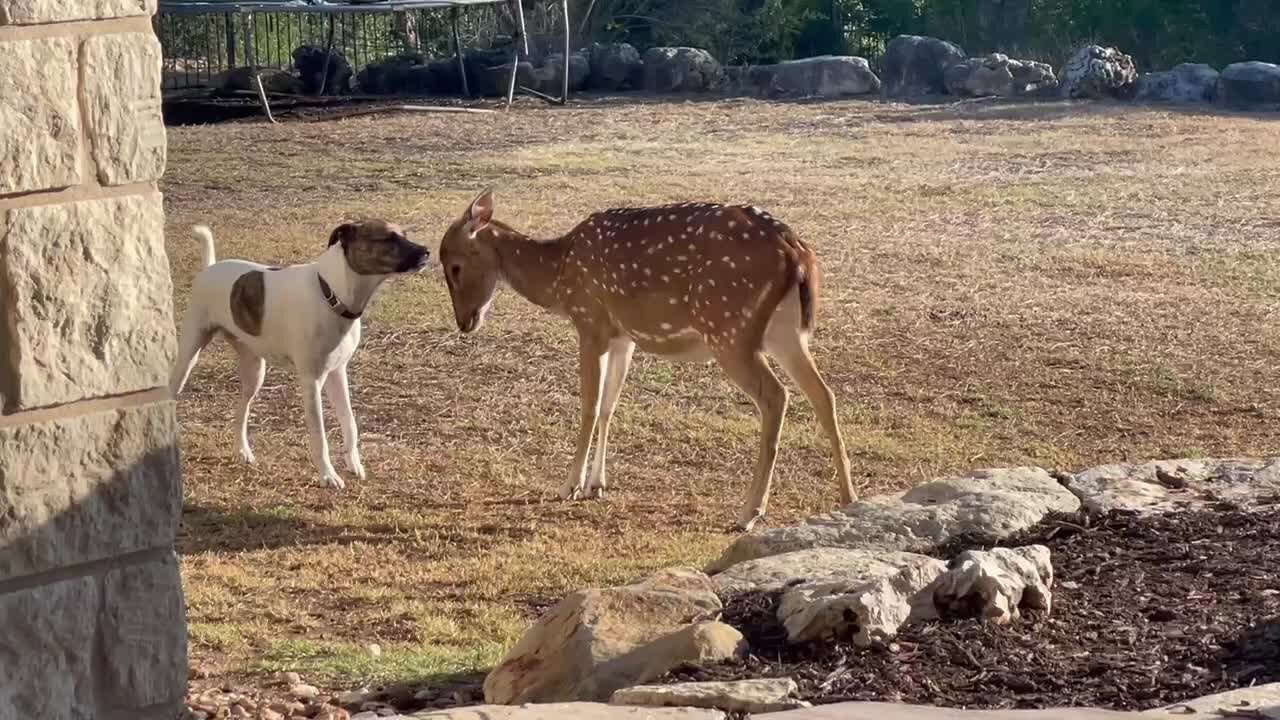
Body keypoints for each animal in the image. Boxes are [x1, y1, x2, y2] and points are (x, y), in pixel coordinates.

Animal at [167, 219, 430, 486]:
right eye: (389, 238)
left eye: (404, 234)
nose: (427, 252)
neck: (331, 293)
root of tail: (210, 267)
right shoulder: (312, 381)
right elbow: (319, 435)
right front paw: (328, 475)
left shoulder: (337, 373)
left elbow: (350, 423)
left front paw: (354, 464)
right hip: (190, 354)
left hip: (254, 371)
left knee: (242, 410)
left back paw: (242, 451)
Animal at [437, 188, 849, 530]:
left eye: (454, 266)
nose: (464, 322)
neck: (558, 276)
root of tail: (798, 253)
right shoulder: (624, 336)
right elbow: (609, 405)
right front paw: (597, 484)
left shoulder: (590, 323)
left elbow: (589, 406)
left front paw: (570, 485)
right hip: (784, 330)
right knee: (823, 394)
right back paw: (848, 499)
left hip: (729, 326)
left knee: (777, 396)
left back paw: (749, 513)